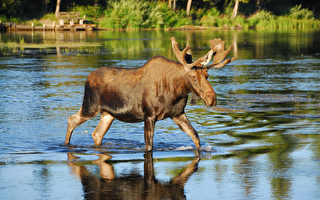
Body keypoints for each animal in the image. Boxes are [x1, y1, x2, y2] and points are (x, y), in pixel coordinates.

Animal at [65, 36, 235, 151]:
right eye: (193, 77)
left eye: (207, 75)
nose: (212, 99)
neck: (176, 91)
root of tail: (88, 77)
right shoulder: (149, 115)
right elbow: (149, 146)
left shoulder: (177, 113)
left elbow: (195, 136)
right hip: (91, 107)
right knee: (72, 119)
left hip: (108, 114)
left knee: (96, 134)